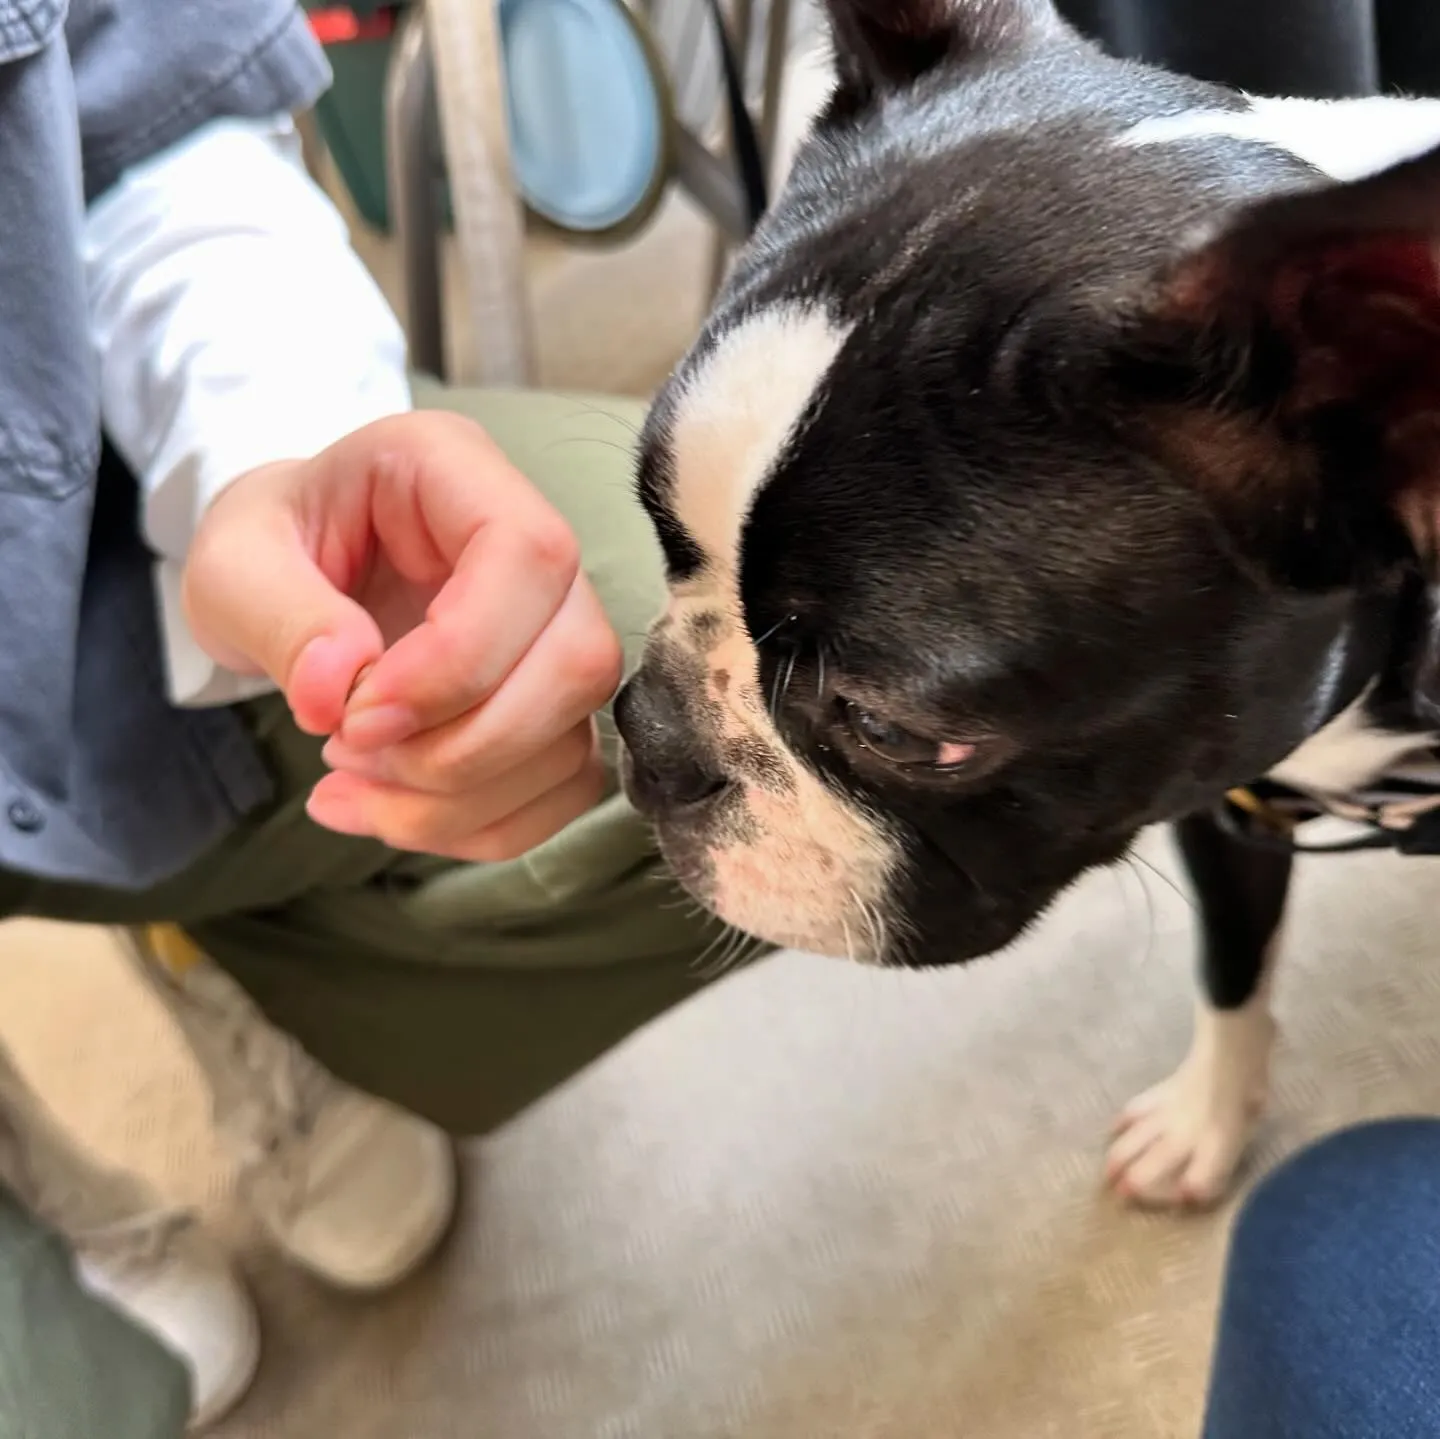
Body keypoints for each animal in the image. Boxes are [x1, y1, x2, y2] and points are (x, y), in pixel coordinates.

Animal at [613, 0, 1440, 1209]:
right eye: (662, 533)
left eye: (894, 729)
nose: (651, 737)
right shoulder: (1219, 796)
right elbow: (1231, 955)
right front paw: (1206, 1117)